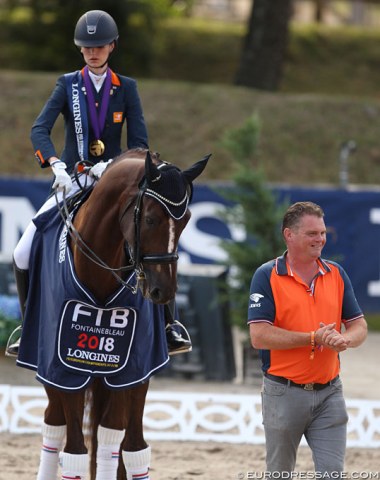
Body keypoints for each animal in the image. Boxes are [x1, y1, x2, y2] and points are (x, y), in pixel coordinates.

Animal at [19, 148, 209, 478]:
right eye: (150, 218)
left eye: (185, 220)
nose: (163, 292)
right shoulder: (63, 368)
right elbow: (75, 452)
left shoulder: (131, 368)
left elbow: (121, 443)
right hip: (45, 367)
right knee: (53, 427)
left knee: (125, 442)